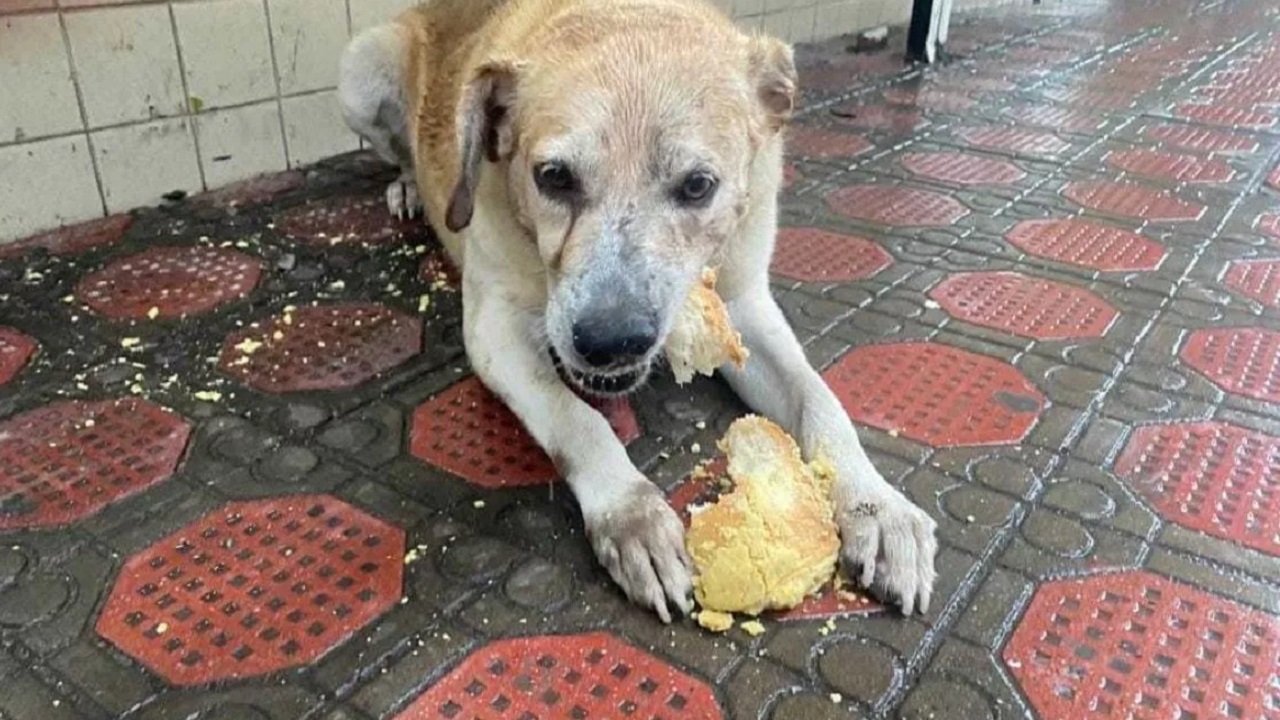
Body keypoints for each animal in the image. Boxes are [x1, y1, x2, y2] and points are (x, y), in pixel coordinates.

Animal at [337, 0, 942, 620]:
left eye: (698, 186)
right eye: (553, 177)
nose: (610, 341)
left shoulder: (746, 306)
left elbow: (822, 401)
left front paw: (877, 505)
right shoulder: (493, 330)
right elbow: (577, 420)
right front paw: (631, 514)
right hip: (360, 71)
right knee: (398, 151)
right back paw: (409, 187)